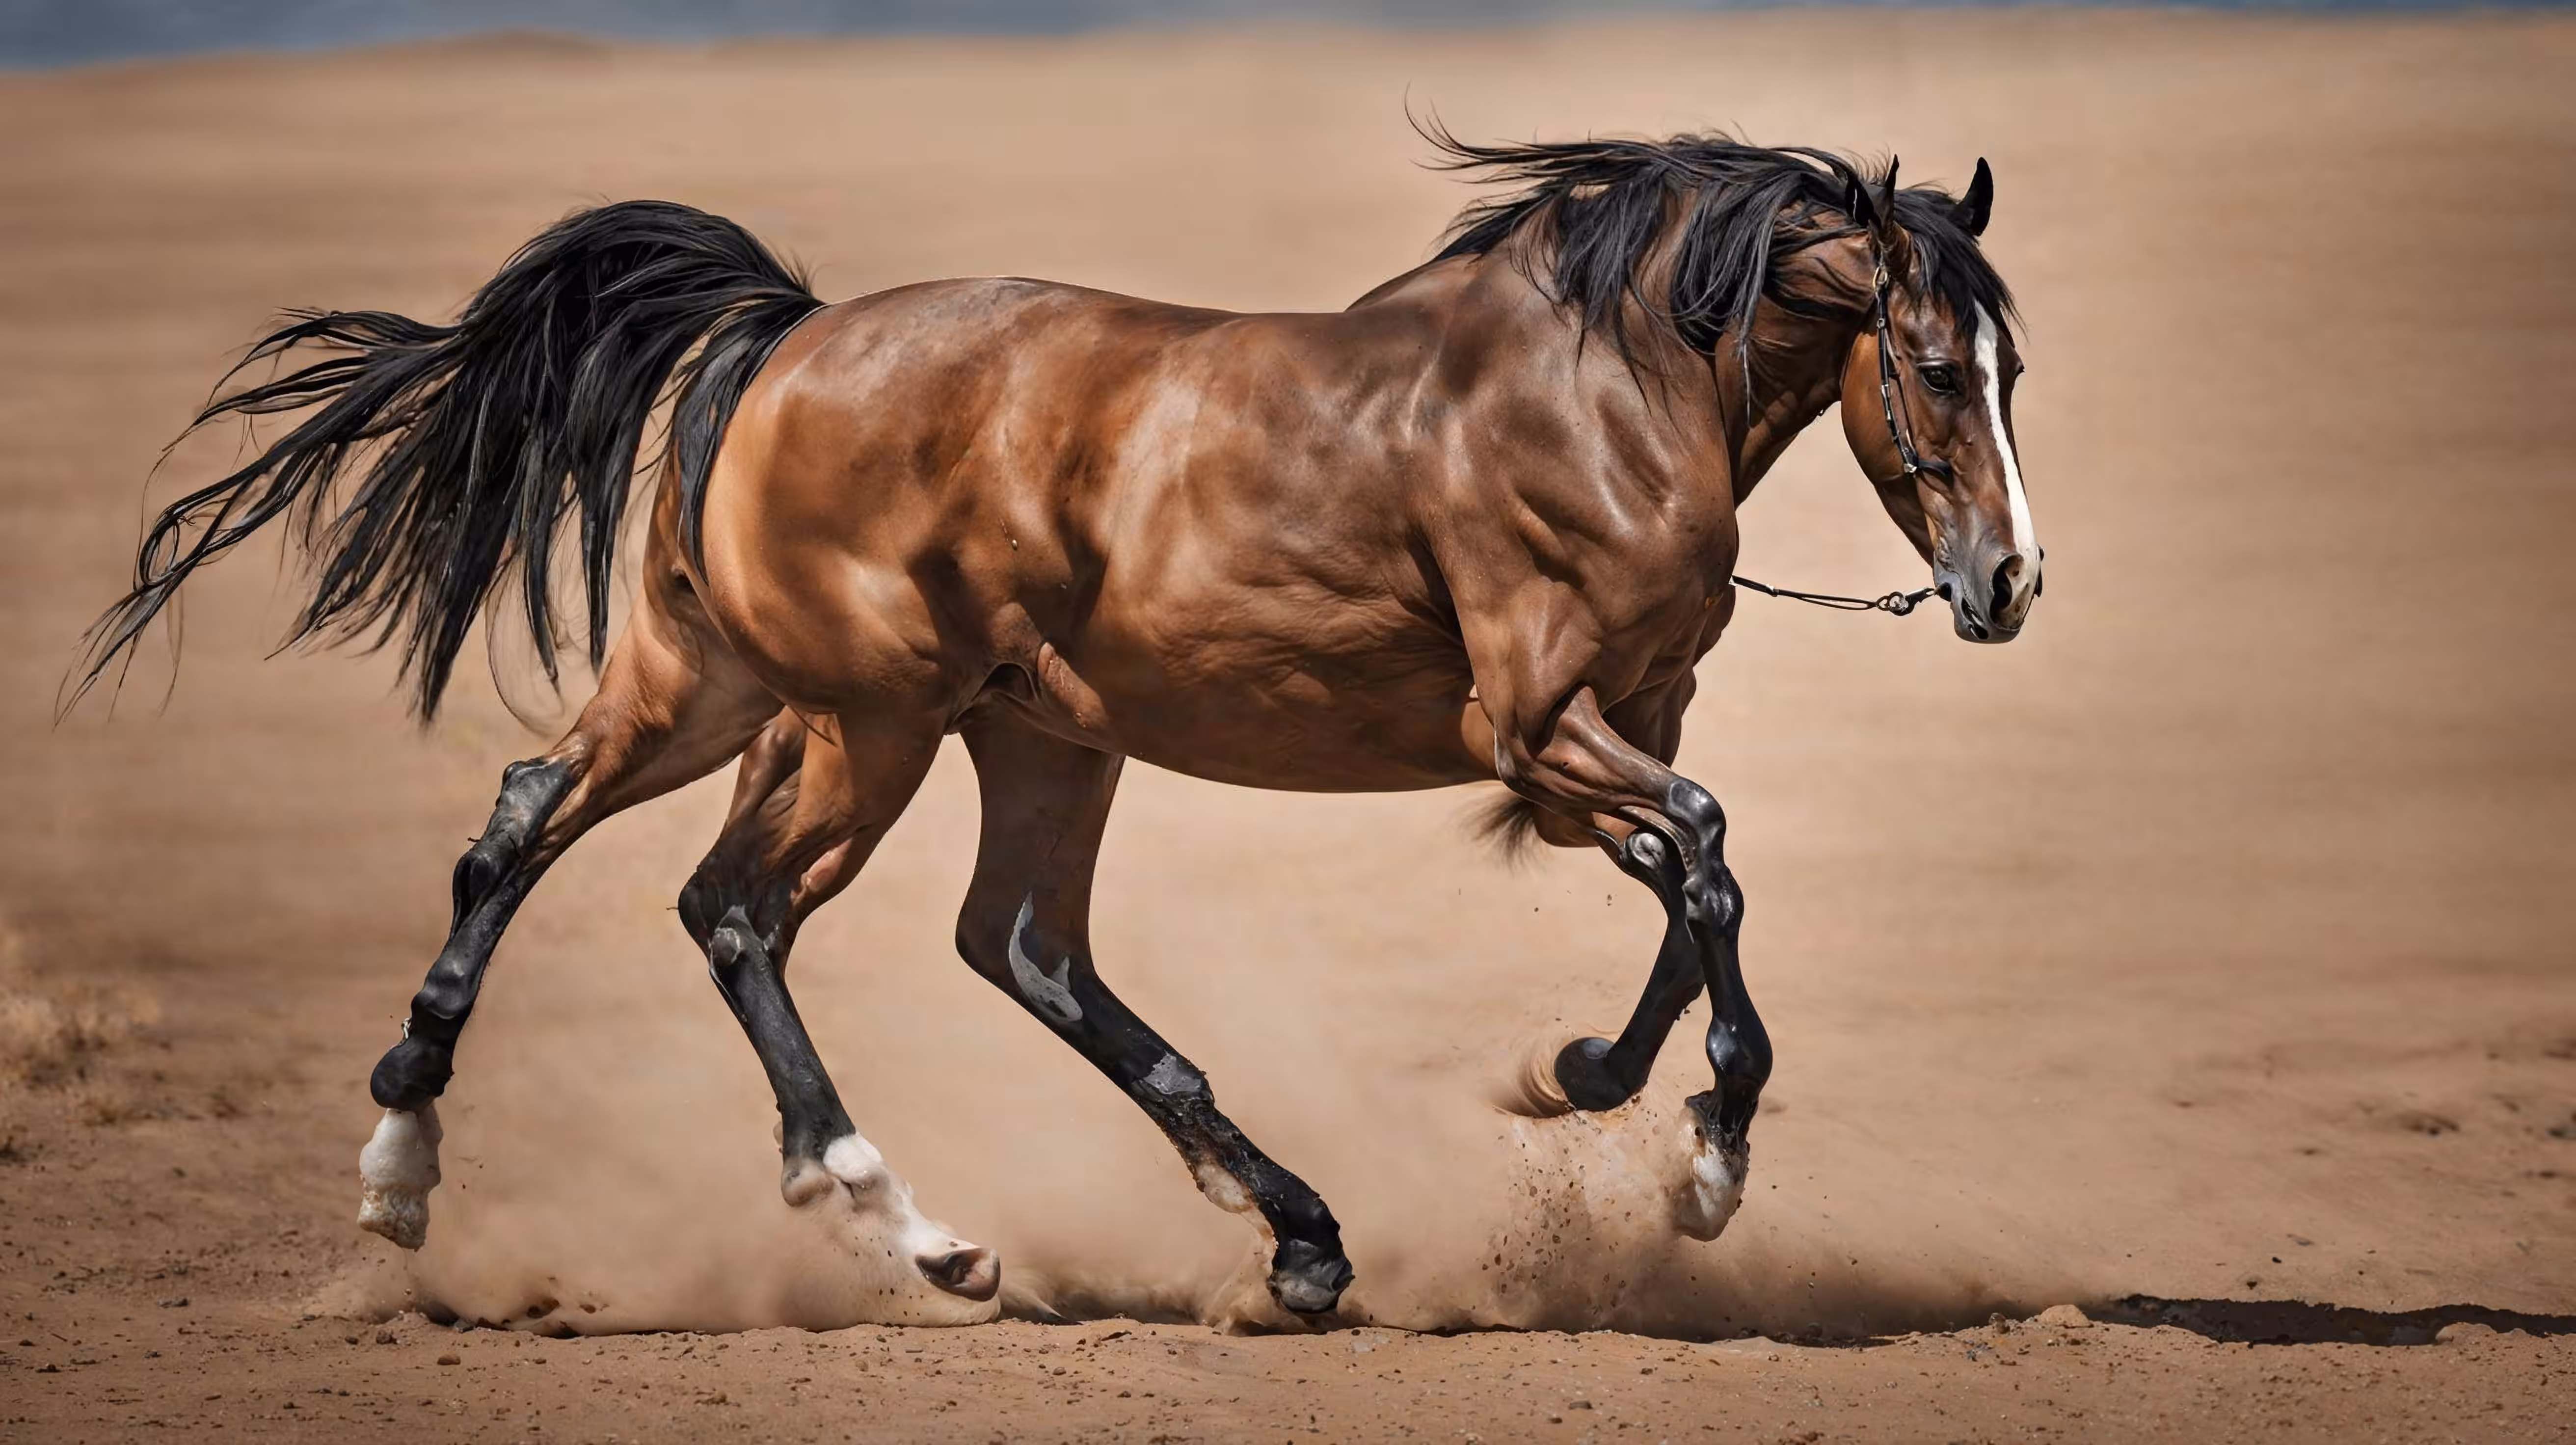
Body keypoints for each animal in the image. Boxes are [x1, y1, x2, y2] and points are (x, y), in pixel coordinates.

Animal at [76, 125, 2038, 1325]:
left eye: (2015, 367)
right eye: (1940, 367)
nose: (2010, 584)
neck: (1592, 394)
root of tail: (783, 338)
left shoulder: (1606, 731)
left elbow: (1688, 886)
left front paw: (1580, 1078)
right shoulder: (1539, 722)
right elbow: (1705, 855)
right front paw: (1700, 1159)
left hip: (863, 712)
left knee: (632, 847)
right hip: (867, 722)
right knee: (743, 912)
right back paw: (905, 1219)